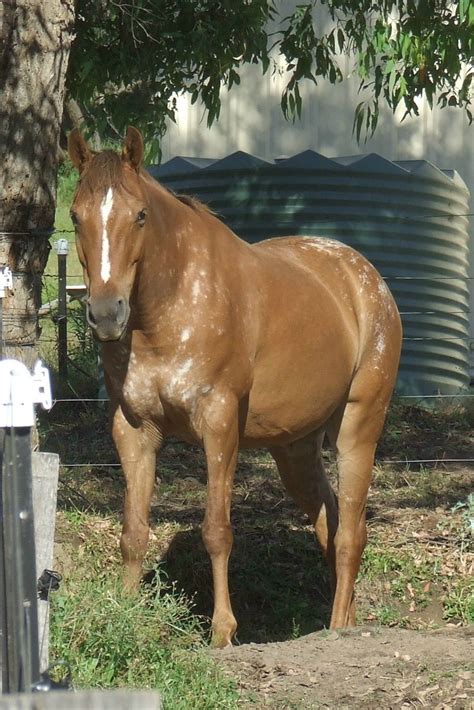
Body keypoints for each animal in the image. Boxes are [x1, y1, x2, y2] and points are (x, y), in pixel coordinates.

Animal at [67, 128, 400, 652]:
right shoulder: (134, 430)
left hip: (358, 428)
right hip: (294, 449)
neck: (171, 305)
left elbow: (217, 531)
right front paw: (125, 612)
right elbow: (133, 531)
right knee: (329, 524)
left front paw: (223, 631)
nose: (105, 314)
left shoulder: (219, 423)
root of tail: (366, 279)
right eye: (76, 216)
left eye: (139, 215)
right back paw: (337, 621)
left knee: (350, 534)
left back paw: (340, 630)